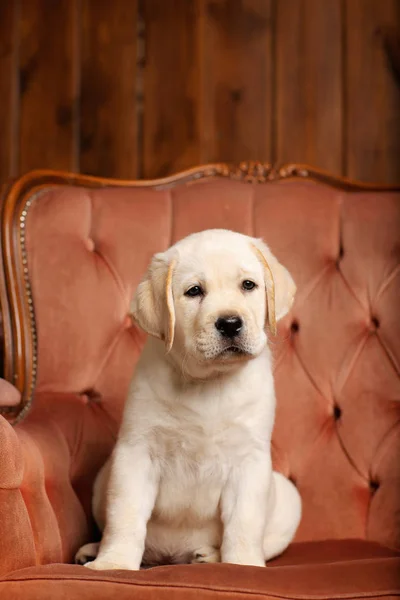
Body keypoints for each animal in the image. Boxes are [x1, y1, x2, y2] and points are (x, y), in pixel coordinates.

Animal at [76, 230, 300, 572]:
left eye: (248, 285)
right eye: (194, 291)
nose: (230, 323)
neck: (209, 381)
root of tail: (172, 558)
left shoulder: (249, 460)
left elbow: (244, 524)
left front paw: (242, 565)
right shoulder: (136, 452)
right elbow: (125, 514)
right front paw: (113, 563)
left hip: (289, 497)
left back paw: (209, 556)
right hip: (104, 475)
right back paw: (93, 549)